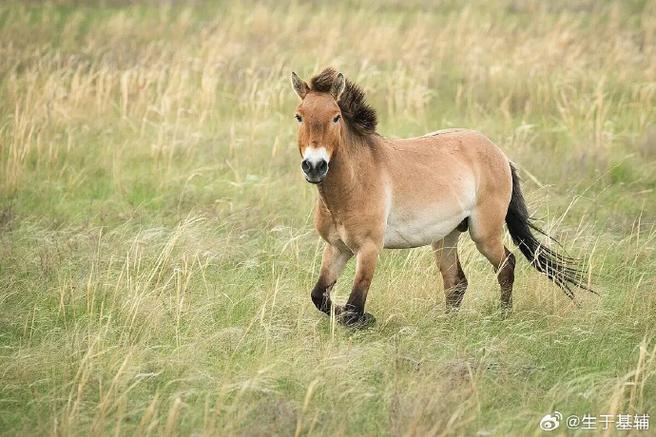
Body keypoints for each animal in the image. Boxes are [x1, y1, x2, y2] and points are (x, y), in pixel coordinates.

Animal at [290, 68, 592, 327]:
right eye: (299, 116)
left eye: (336, 117)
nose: (314, 166)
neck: (353, 183)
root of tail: (499, 153)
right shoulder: (337, 248)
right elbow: (319, 296)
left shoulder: (368, 249)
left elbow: (354, 306)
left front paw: (366, 320)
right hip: (446, 236)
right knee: (456, 281)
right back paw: (448, 324)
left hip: (484, 234)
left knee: (506, 264)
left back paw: (503, 316)